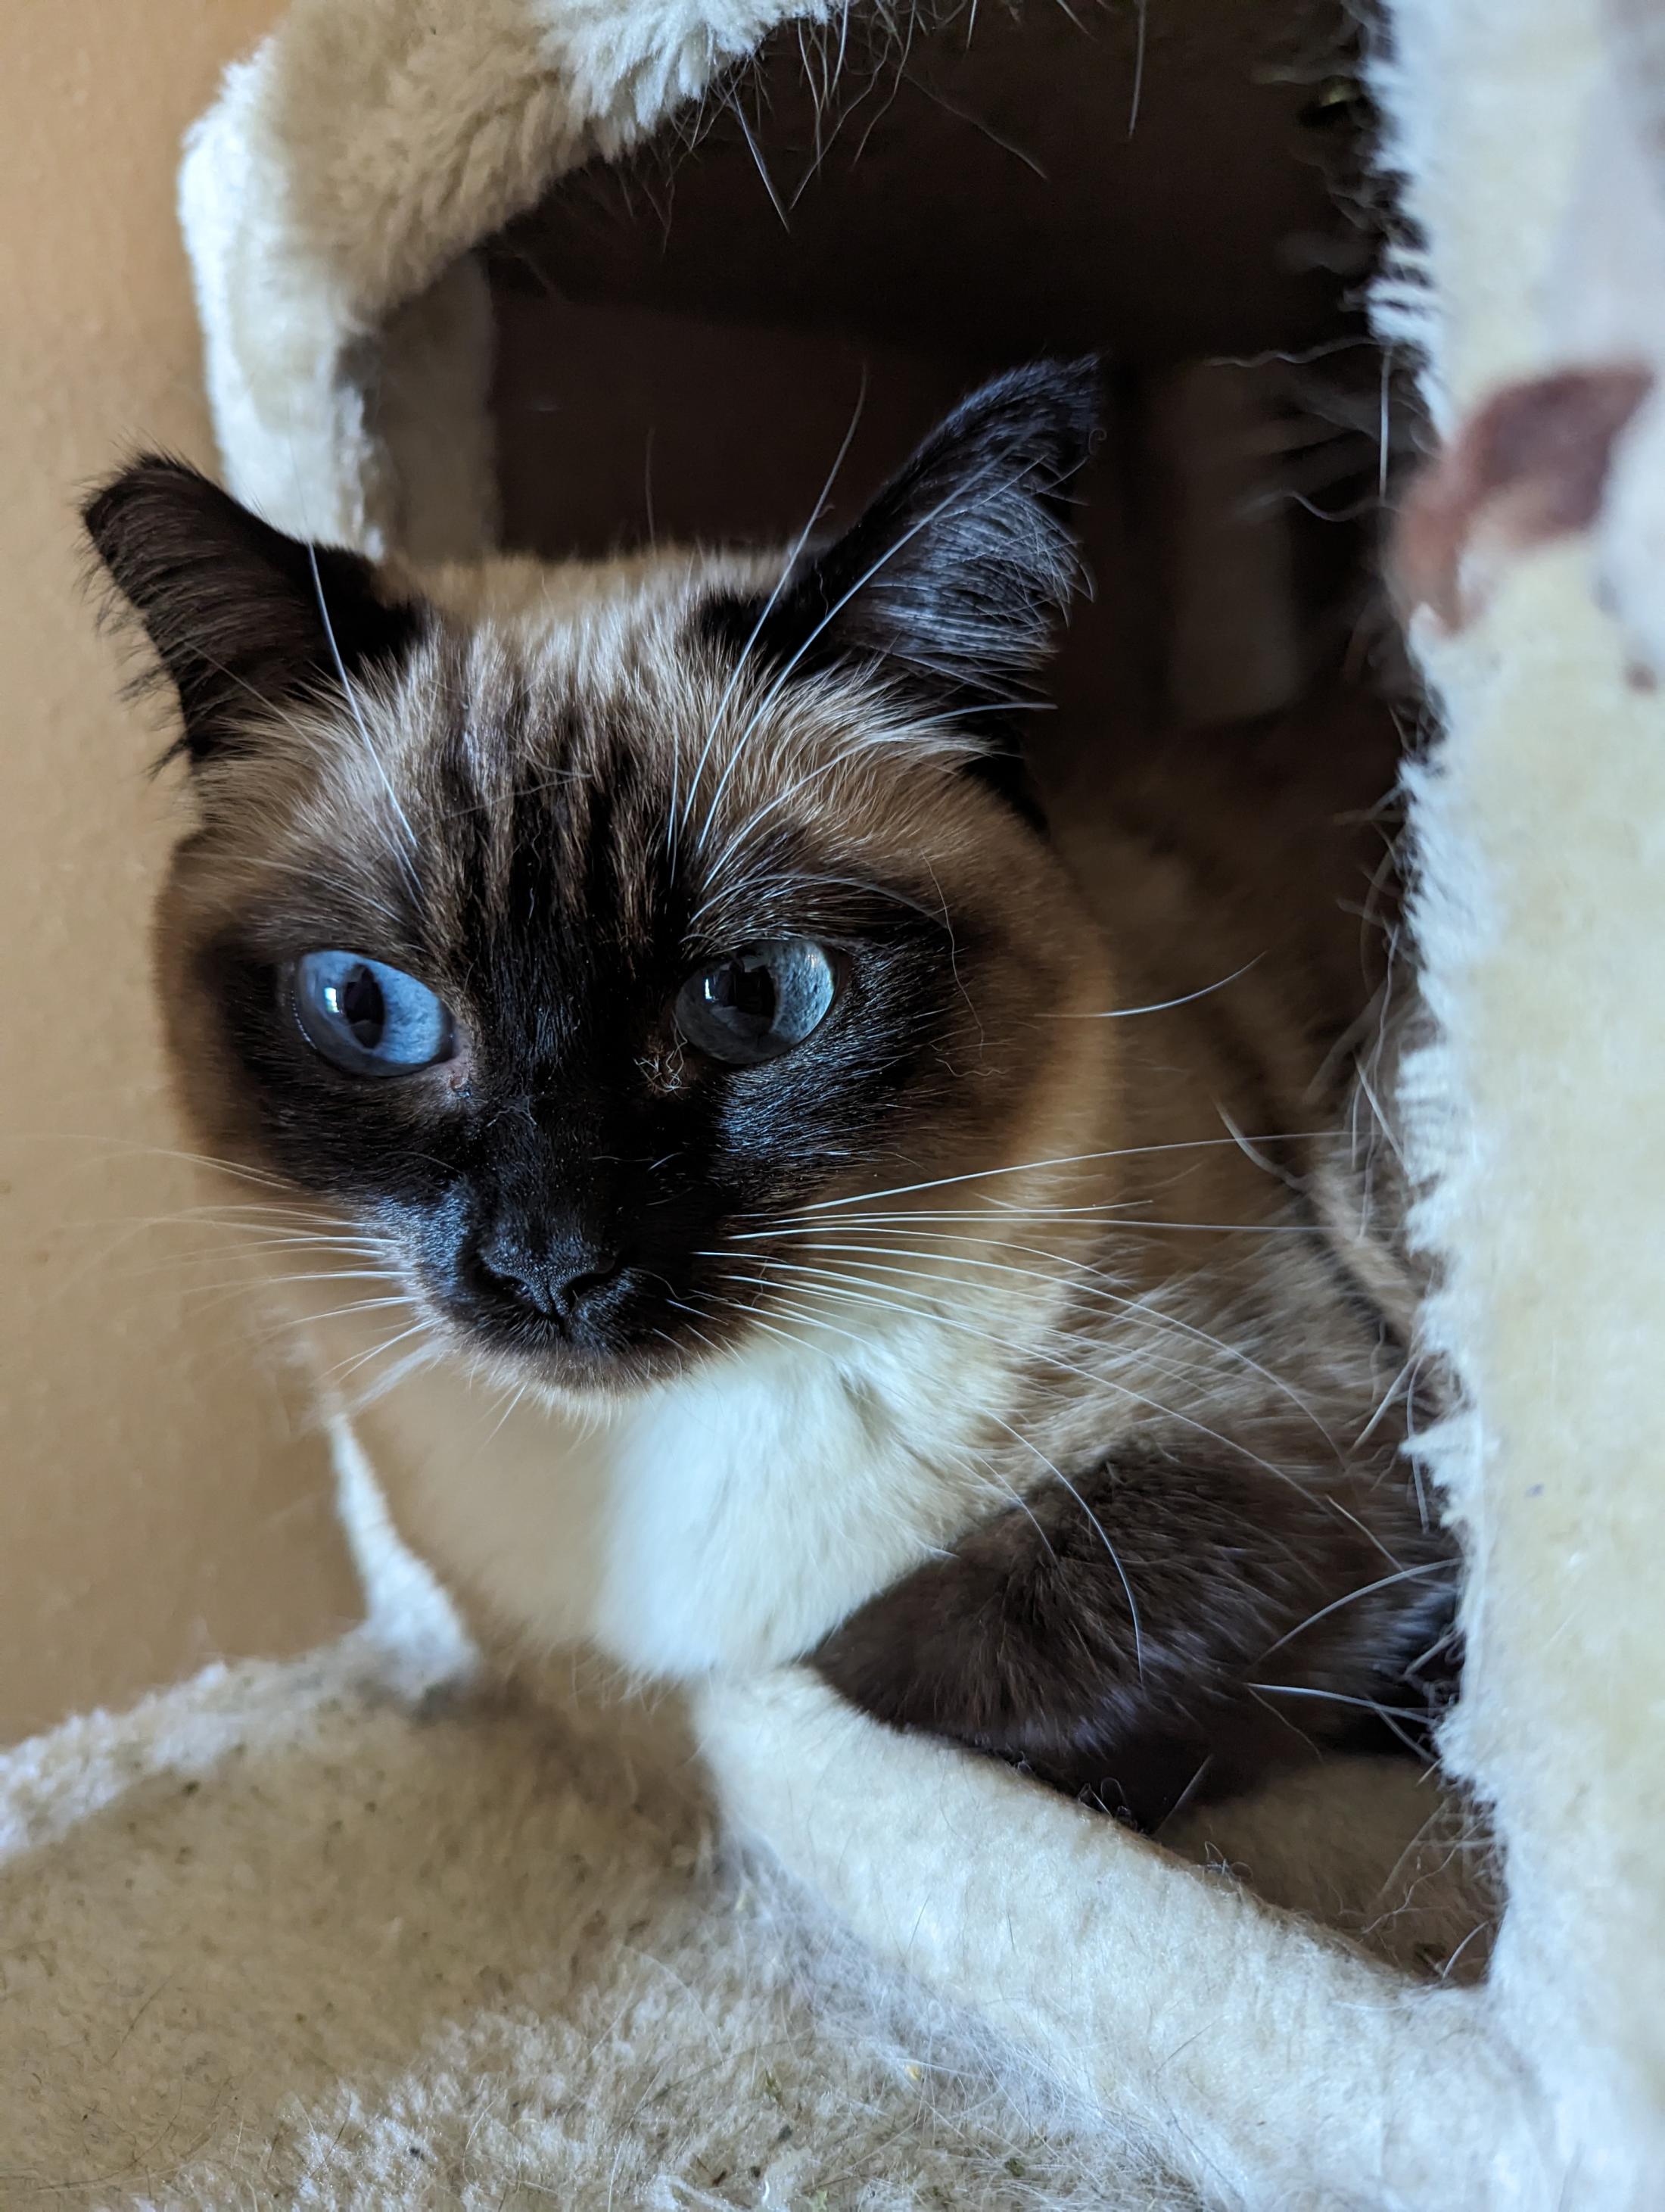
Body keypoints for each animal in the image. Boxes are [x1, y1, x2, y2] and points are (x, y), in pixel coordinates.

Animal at [84, 358, 1450, 1814]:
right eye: (370, 1010)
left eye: (755, 997)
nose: (551, 1260)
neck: (631, 1479)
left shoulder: (1290, 1456)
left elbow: (863, 1687)